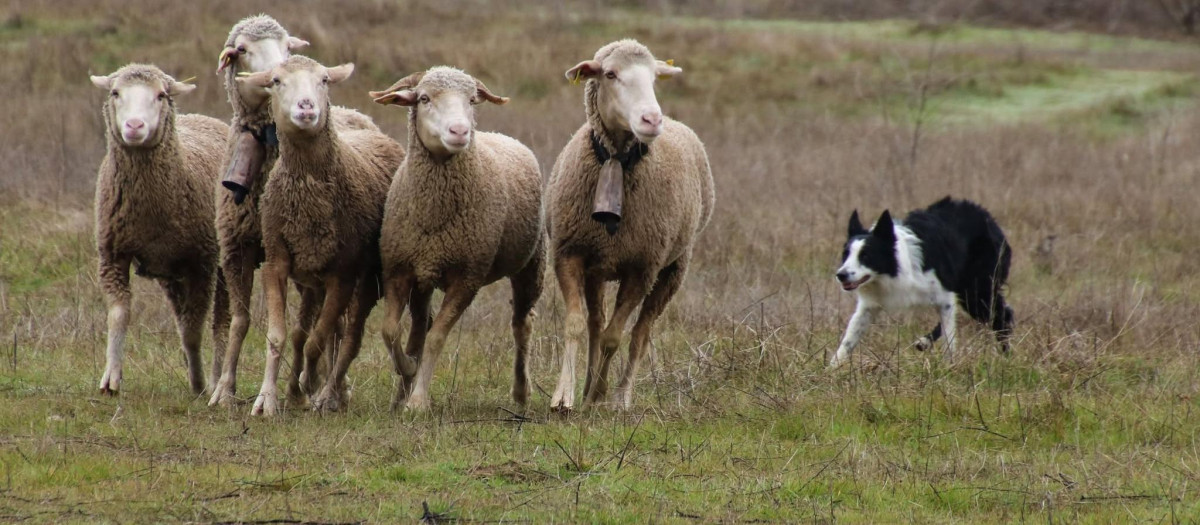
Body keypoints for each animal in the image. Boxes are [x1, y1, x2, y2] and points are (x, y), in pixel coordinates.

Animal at [90, 64, 230, 396]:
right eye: (115, 93)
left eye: (160, 95)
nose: (134, 125)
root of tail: (204, 118)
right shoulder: (112, 255)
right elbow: (118, 316)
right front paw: (111, 377)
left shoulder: (202, 263)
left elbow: (194, 329)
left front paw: (200, 384)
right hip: (171, 273)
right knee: (182, 317)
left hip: (222, 260)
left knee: (221, 321)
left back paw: (216, 377)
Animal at [208, 15, 381, 407]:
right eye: (242, 49)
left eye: (288, 46)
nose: (272, 71)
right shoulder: (237, 248)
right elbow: (240, 322)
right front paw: (225, 389)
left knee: (334, 325)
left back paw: (327, 389)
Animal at [236, 55, 404, 416]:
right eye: (276, 81)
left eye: (324, 80)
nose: (306, 107)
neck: (307, 193)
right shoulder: (276, 261)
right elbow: (280, 337)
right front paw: (268, 399)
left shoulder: (343, 273)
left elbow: (318, 340)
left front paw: (308, 384)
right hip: (311, 273)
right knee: (309, 331)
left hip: (366, 278)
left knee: (347, 335)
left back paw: (330, 392)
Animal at [370, 66, 545, 412]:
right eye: (424, 98)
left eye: (472, 100)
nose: (460, 131)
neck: (434, 213)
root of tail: (501, 136)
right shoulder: (398, 268)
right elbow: (390, 330)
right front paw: (408, 370)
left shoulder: (467, 278)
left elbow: (437, 337)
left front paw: (419, 401)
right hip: (424, 275)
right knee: (418, 326)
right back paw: (401, 391)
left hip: (532, 263)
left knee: (522, 324)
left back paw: (521, 391)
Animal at [546, 40, 715, 411]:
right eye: (610, 74)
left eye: (654, 77)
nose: (652, 119)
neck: (615, 162)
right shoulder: (569, 253)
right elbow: (576, 325)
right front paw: (566, 395)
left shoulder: (642, 268)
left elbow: (614, 337)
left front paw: (598, 396)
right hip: (598, 266)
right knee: (596, 323)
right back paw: (589, 386)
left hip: (672, 270)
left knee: (640, 333)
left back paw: (621, 397)